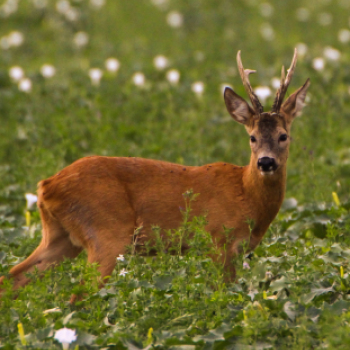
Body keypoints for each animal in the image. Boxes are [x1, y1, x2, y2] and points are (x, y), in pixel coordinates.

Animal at [0, 49, 308, 300]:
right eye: (252, 137)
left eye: (283, 136)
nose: (266, 162)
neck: (247, 195)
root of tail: (46, 185)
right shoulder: (218, 241)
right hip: (107, 233)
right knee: (79, 295)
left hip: (60, 236)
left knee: (12, 278)